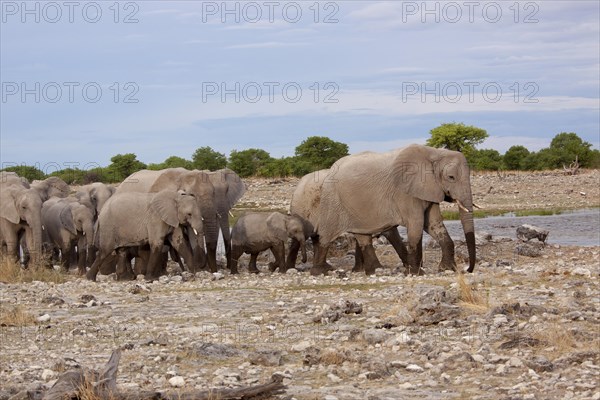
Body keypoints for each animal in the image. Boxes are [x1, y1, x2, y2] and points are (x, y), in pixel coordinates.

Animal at [308, 145, 476, 276]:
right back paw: (320, 271)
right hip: (332, 199)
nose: (467, 270)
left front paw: (447, 269)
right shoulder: (406, 192)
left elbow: (434, 224)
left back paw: (374, 271)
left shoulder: (430, 189)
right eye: (451, 177)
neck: (434, 152)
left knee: (362, 236)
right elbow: (416, 224)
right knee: (327, 234)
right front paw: (415, 273)